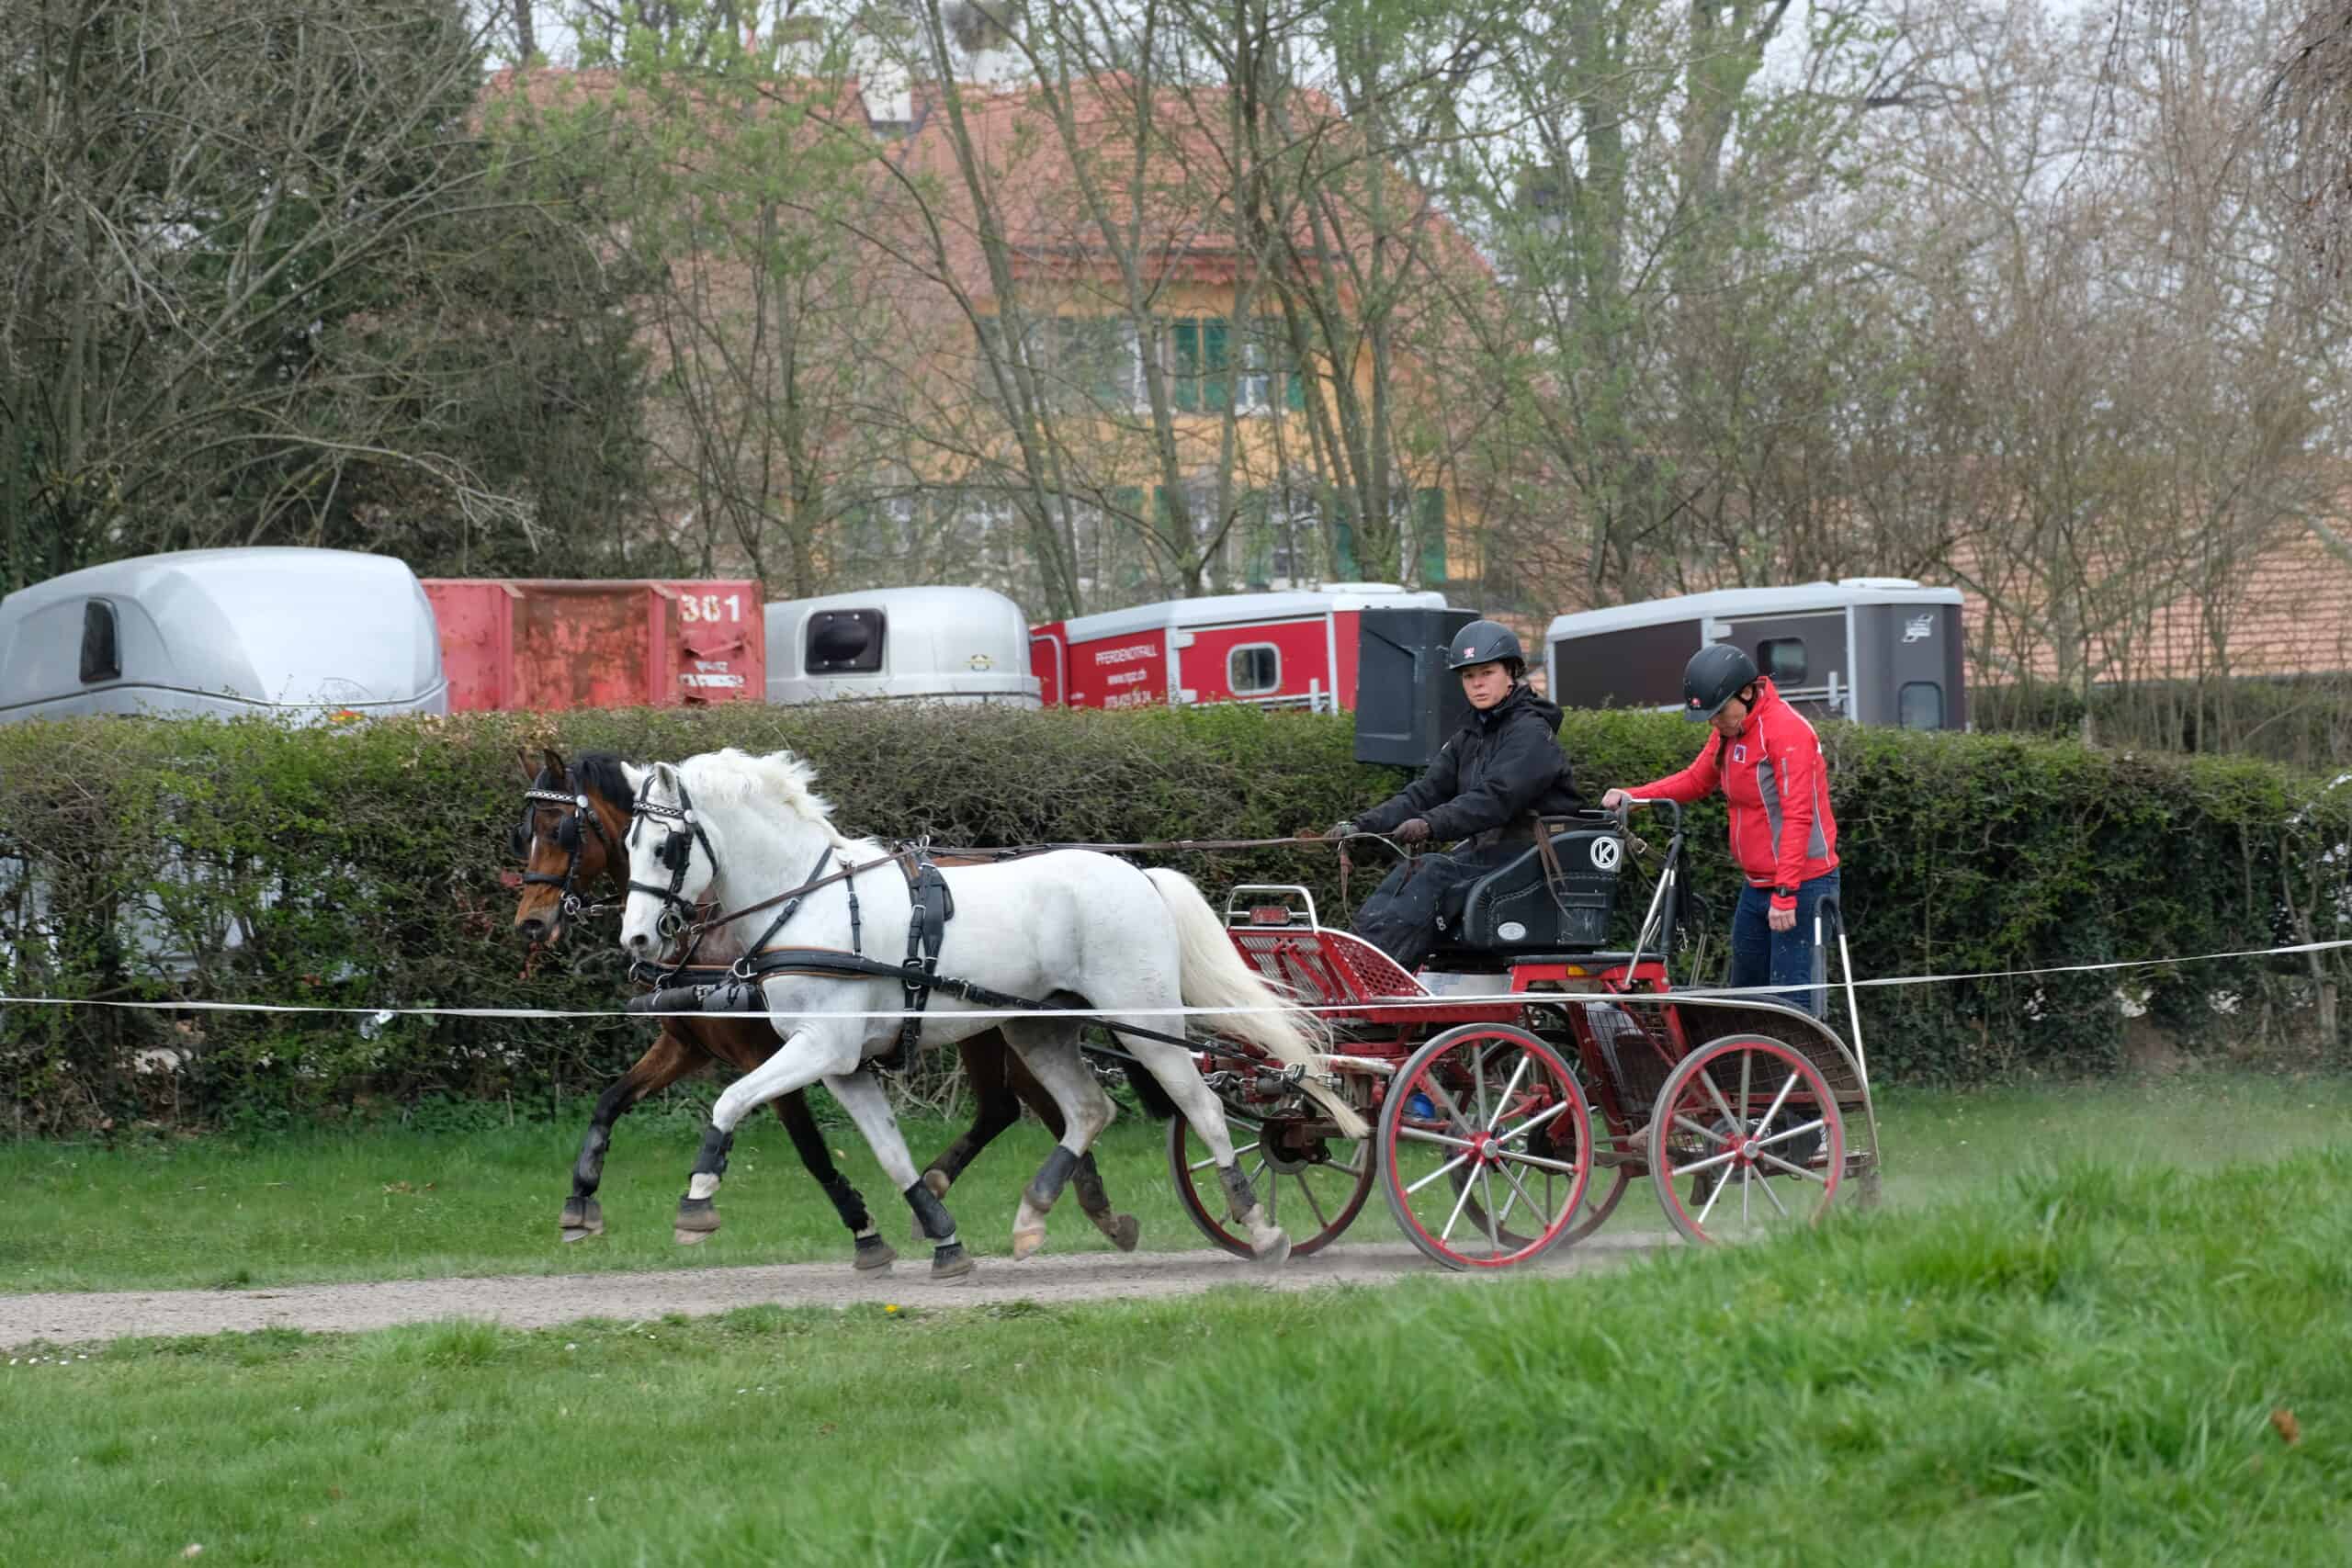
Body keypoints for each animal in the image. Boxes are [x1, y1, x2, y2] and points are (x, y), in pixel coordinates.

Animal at [514, 742, 1148, 1269]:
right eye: (526, 832)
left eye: (561, 828)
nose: (531, 922)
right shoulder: (688, 1043)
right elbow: (610, 1101)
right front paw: (580, 1200)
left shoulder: (778, 1051)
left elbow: (809, 1149)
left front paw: (865, 1232)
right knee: (1018, 1109)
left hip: (991, 1029)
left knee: (1028, 1108)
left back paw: (1081, 1207)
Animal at [616, 747, 1374, 1279]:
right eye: (626, 844)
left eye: (665, 845)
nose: (638, 939)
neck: (812, 903)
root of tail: (1140, 875)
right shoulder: (843, 1067)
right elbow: (890, 1152)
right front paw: (943, 1237)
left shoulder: (819, 1049)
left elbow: (730, 1101)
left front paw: (697, 1199)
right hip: (1037, 1029)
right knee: (1090, 1110)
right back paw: (1034, 1213)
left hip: (1147, 1024)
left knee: (1205, 1110)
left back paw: (1260, 1225)